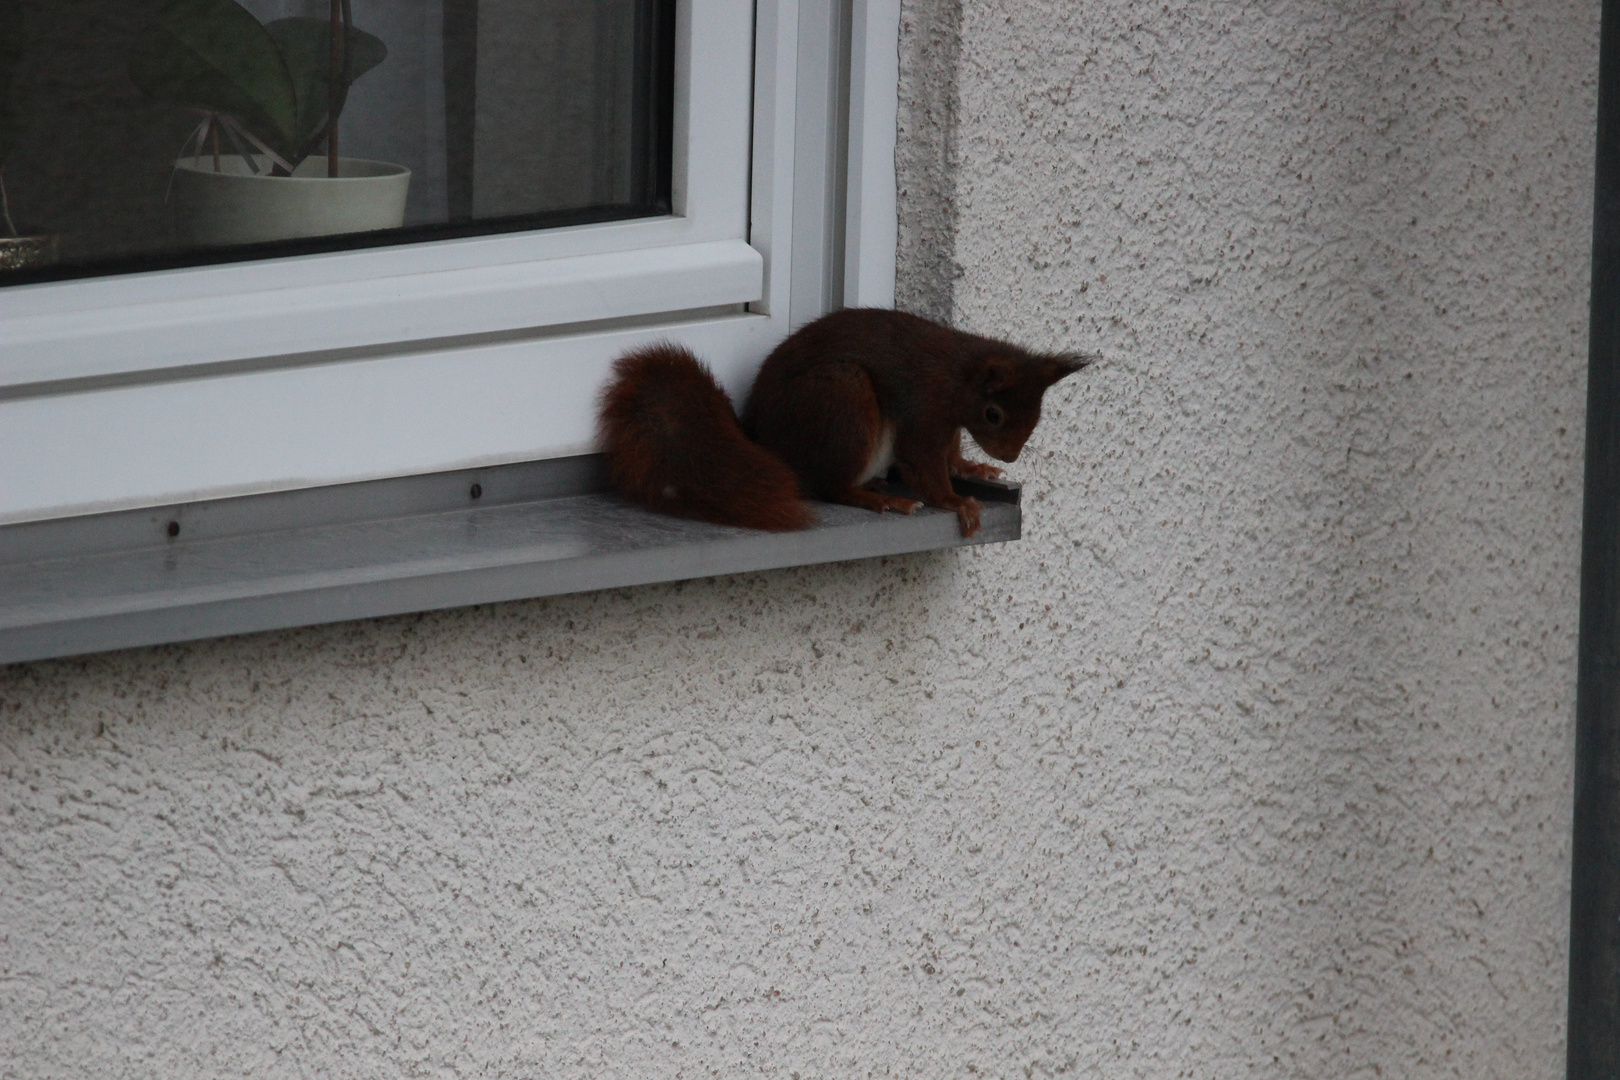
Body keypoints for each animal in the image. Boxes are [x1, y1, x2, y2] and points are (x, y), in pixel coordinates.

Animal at [596, 307, 1088, 537]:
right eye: (994, 414)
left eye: (1038, 415)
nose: (1010, 454)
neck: (958, 376)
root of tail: (764, 439)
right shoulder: (925, 408)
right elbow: (923, 463)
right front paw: (955, 501)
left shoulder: (946, 423)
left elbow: (949, 454)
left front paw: (974, 468)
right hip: (844, 398)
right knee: (829, 487)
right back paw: (879, 499)